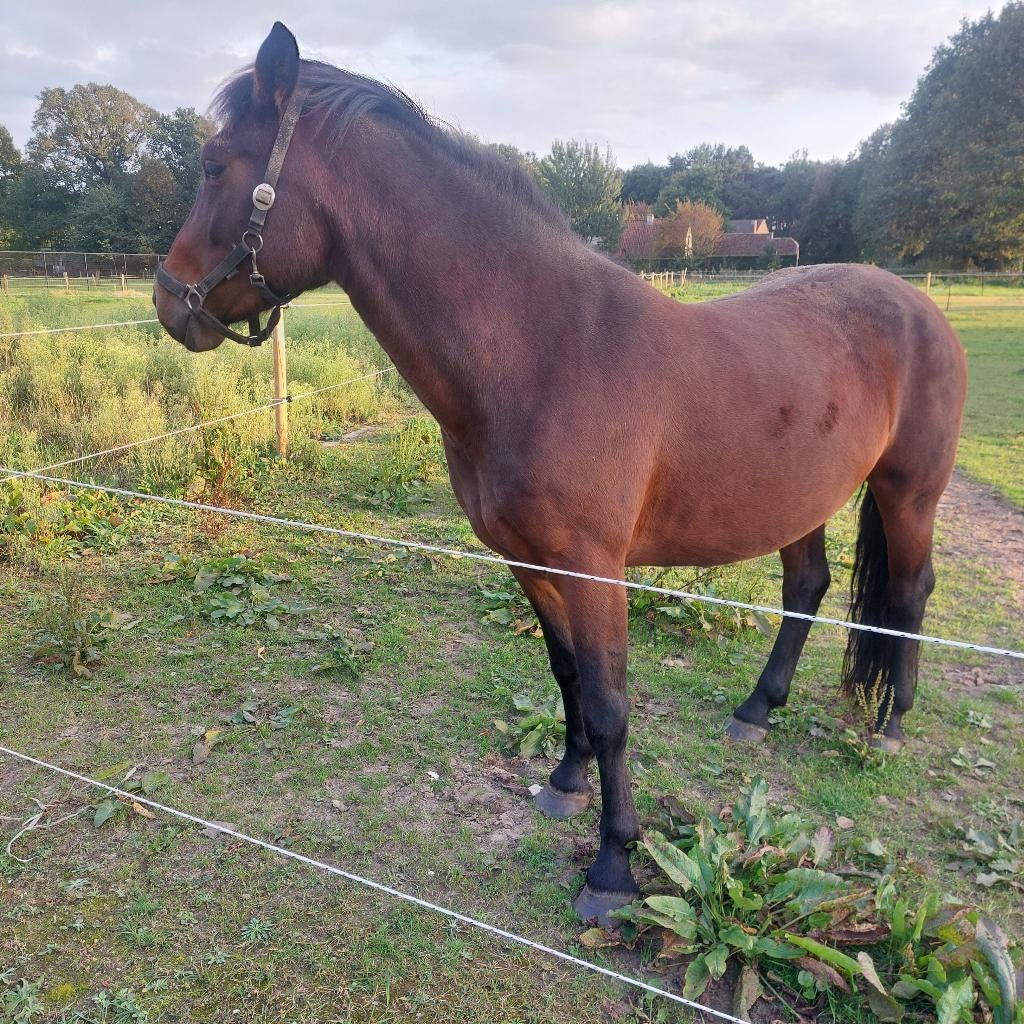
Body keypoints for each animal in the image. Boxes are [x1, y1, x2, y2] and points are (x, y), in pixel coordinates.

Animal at [154, 23, 967, 923]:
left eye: (215, 164)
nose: (168, 300)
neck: (542, 351)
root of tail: (918, 306)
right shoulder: (529, 559)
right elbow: (567, 671)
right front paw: (565, 781)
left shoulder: (593, 567)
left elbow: (611, 706)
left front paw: (613, 868)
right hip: (800, 500)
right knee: (808, 588)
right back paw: (757, 709)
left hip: (908, 492)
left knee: (909, 594)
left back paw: (891, 724)